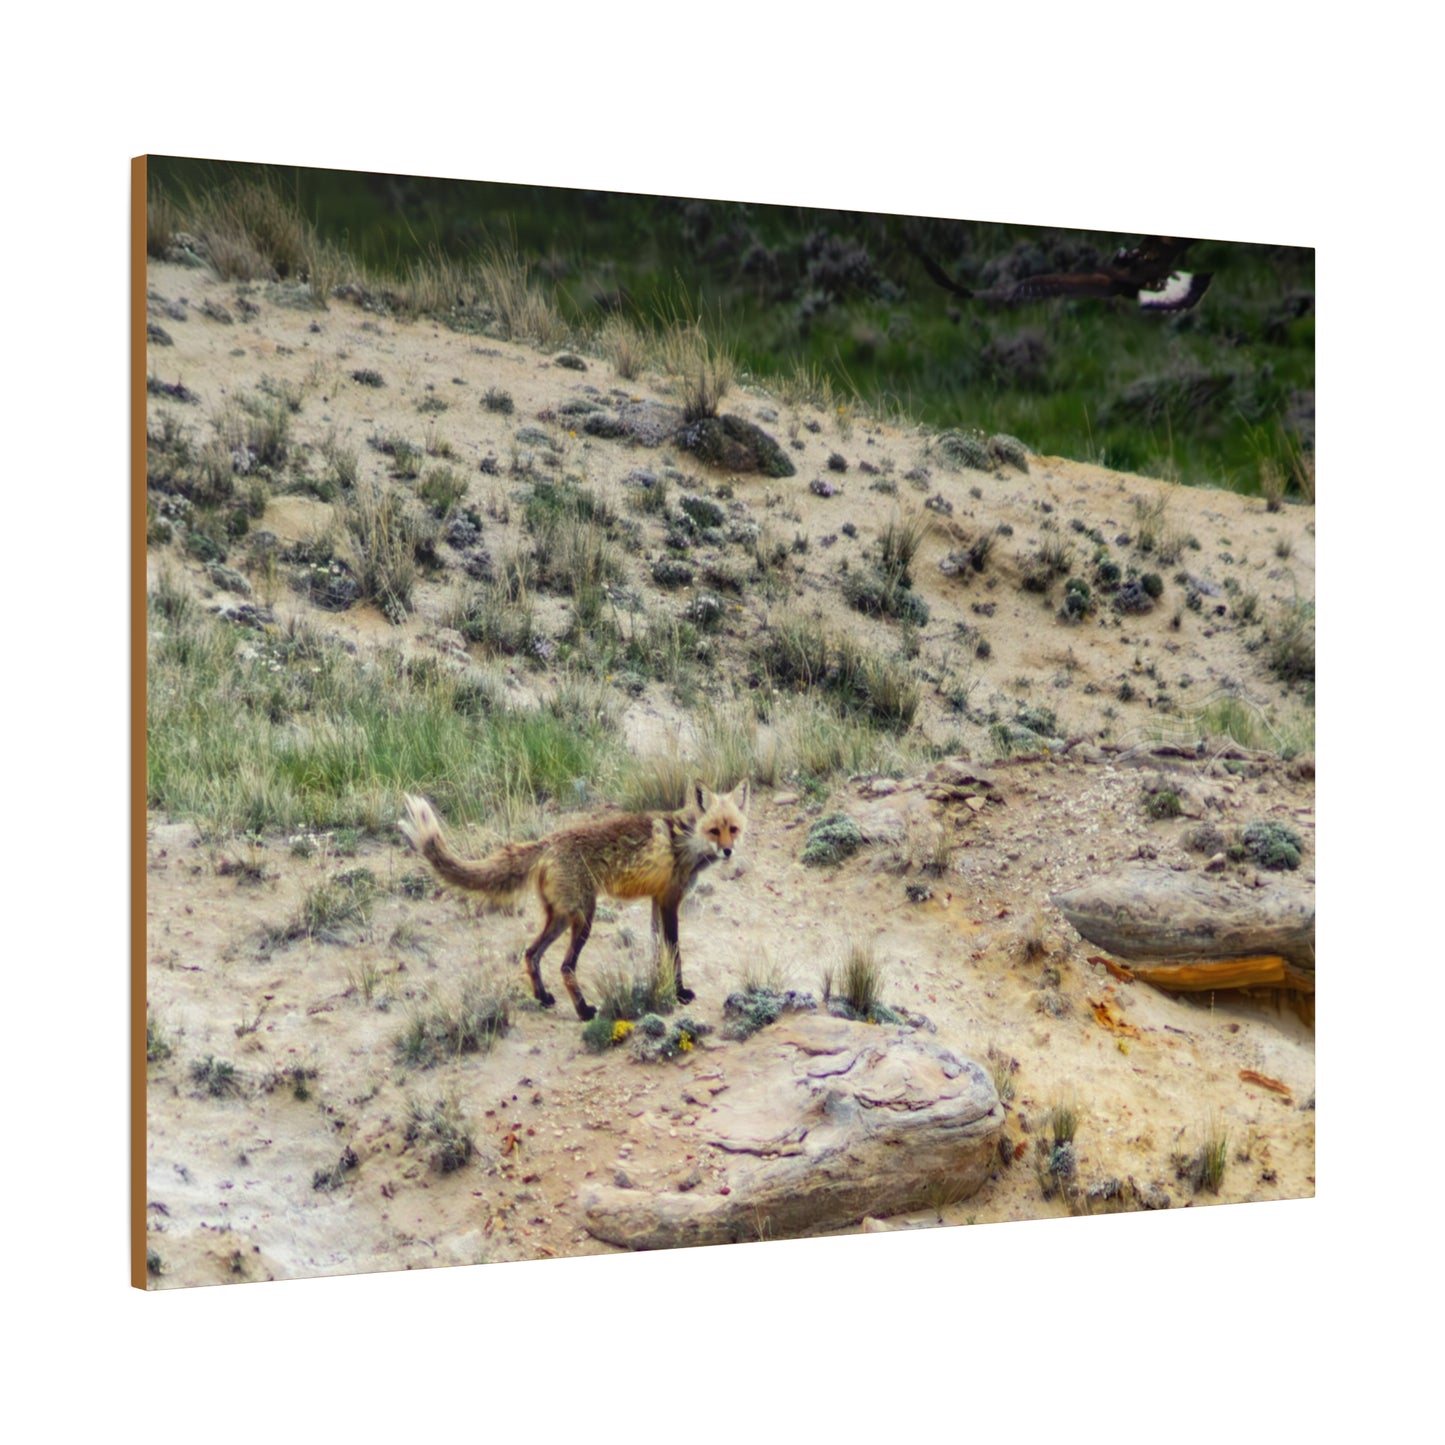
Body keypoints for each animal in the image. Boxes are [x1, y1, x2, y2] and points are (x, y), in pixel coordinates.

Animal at [398, 781, 749, 1021]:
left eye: (733, 829)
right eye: (715, 830)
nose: (728, 851)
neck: (686, 839)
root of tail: (548, 841)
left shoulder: (656, 900)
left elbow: (657, 951)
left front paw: (657, 987)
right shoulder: (669, 901)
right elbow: (674, 951)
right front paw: (679, 993)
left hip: (561, 918)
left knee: (531, 954)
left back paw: (543, 998)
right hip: (584, 918)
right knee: (566, 967)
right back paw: (583, 1011)